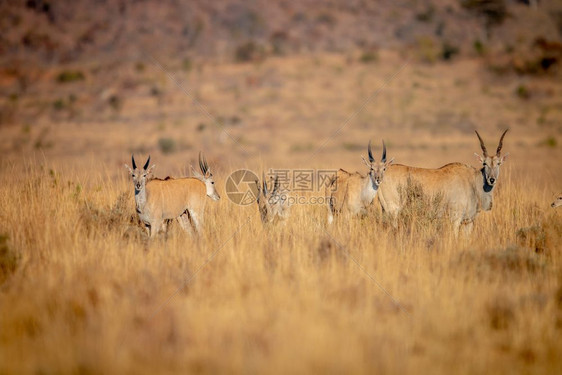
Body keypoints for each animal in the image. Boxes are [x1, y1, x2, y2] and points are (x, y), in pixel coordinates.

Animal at [376, 131, 508, 234]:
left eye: (498, 163)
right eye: (485, 163)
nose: (491, 179)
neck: (472, 181)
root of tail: (381, 174)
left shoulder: (468, 222)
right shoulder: (455, 219)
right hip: (393, 211)